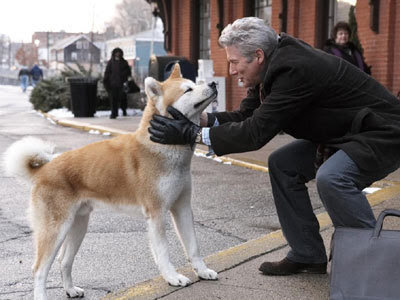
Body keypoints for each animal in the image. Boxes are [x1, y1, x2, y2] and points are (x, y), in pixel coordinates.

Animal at [1, 63, 217, 300]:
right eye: (188, 90)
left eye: (194, 83)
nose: (214, 83)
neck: (163, 147)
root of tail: (44, 169)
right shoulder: (157, 213)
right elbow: (163, 252)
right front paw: (172, 277)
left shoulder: (182, 207)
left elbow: (194, 247)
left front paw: (203, 271)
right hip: (55, 230)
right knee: (39, 269)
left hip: (78, 226)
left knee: (64, 261)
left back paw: (70, 289)